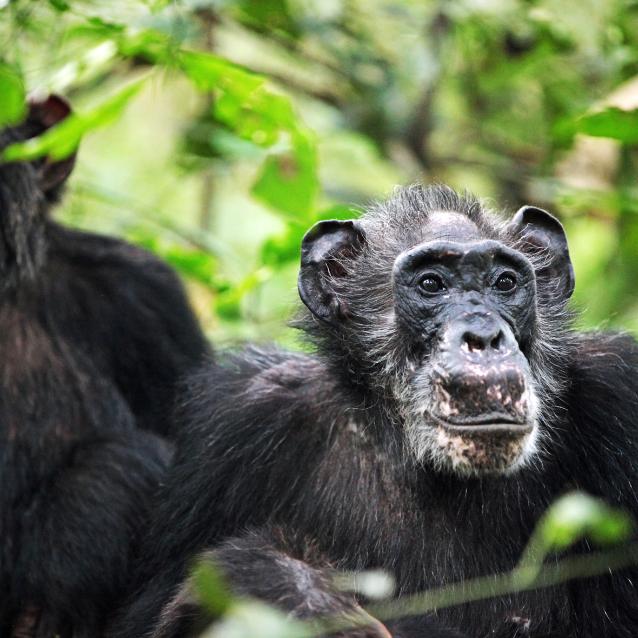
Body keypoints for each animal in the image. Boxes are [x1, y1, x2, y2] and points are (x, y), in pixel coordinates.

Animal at [110, 185, 638, 638]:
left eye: (505, 283)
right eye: (432, 284)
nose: (484, 336)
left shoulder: (620, 392)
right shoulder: (237, 419)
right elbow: (144, 614)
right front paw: (288, 589)